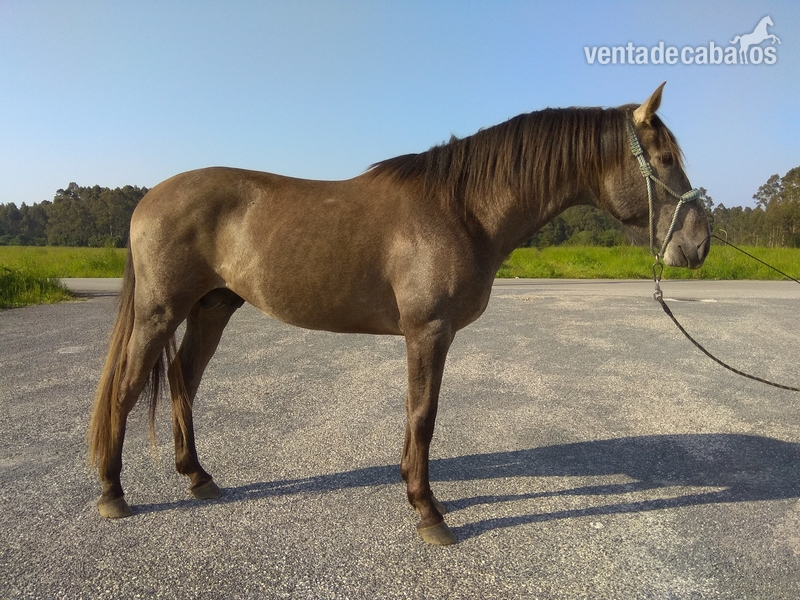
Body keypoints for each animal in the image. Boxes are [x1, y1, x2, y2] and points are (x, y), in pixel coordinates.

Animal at [88, 83, 711, 545]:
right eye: (664, 159)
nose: (698, 244)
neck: (461, 209)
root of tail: (148, 198)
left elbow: (417, 418)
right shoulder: (428, 333)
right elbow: (423, 416)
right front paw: (428, 511)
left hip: (212, 309)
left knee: (182, 381)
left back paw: (197, 477)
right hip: (160, 313)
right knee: (128, 386)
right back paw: (113, 493)